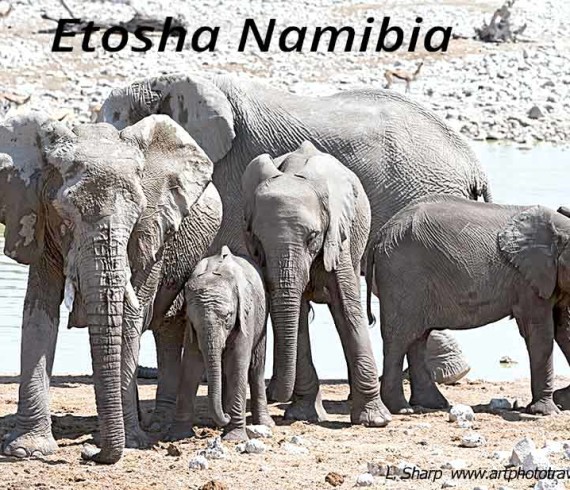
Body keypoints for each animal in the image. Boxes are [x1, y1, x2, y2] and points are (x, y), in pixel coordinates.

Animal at [0, 112, 221, 464]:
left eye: (137, 214)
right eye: (65, 215)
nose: (89, 453)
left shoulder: (153, 231)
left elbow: (130, 318)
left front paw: (132, 443)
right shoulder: (40, 219)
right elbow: (39, 314)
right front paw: (26, 450)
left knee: (165, 325)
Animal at [168, 245, 272, 440]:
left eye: (228, 317)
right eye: (193, 320)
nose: (226, 415)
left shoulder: (246, 315)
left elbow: (237, 364)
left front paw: (234, 437)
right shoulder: (191, 329)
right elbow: (191, 365)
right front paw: (177, 436)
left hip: (262, 318)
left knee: (256, 368)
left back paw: (263, 423)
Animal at [240, 141, 390, 424]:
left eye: (313, 237)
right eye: (257, 240)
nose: (274, 397)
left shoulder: (337, 236)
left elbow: (348, 309)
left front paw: (375, 421)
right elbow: (296, 315)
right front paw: (302, 414)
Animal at [366, 193, 568, 416]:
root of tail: (380, 235)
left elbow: (563, 328)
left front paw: (561, 402)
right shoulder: (528, 280)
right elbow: (540, 332)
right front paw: (547, 412)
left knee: (418, 338)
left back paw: (433, 404)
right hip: (402, 275)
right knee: (399, 338)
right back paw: (402, 409)